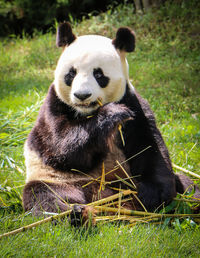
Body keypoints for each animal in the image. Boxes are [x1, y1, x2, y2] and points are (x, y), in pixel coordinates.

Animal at [22, 21, 198, 224]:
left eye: (99, 74)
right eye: (71, 73)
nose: (82, 95)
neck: (86, 113)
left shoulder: (134, 105)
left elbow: (150, 148)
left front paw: (152, 195)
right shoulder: (53, 106)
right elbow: (62, 148)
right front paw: (112, 114)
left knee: (188, 184)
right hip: (58, 179)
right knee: (45, 196)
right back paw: (76, 215)